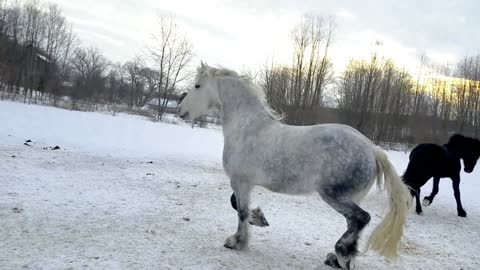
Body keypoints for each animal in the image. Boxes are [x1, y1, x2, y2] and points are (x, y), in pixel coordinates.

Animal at [178, 62, 410, 268]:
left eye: (197, 85)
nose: (181, 110)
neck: (246, 127)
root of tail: (372, 149)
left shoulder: (240, 182)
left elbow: (240, 210)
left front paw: (237, 241)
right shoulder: (246, 183)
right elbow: (236, 204)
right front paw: (259, 218)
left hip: (334, 195)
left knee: (362, 218)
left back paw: (341, 253)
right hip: (351, 197)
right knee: (353, 223)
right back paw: (337, 259)